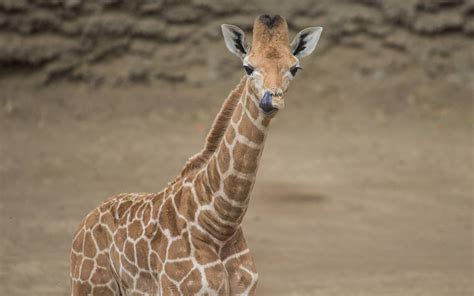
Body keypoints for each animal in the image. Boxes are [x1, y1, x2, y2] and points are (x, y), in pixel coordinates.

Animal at [70, 15, 322, 294]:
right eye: (248, 67)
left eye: (294, 68)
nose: (271, 101)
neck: (220, 224)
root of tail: (84, 223)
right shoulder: (177, 289)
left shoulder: (245, 289)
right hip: (90, 284)